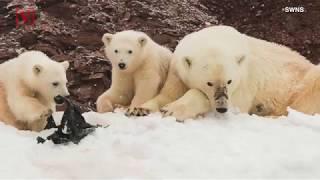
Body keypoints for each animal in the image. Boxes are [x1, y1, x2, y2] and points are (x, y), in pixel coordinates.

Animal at [130, 24, 316, 120]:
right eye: (209, 82)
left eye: (229, 81)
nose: (222, 109)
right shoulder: (177, 70)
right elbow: (168, 94)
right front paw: (139, 109)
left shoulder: (245, 79)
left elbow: (234, 103)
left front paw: (172, 110)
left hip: (303, 85)